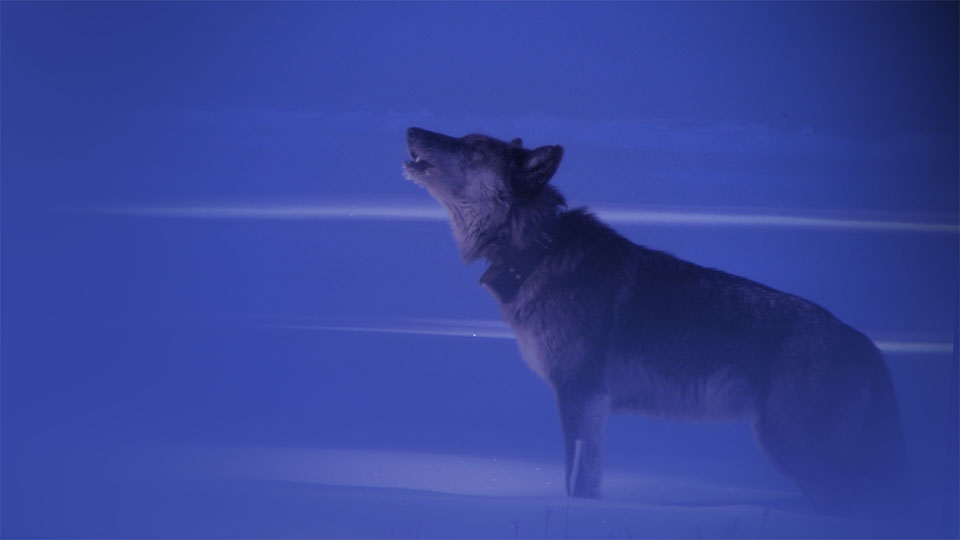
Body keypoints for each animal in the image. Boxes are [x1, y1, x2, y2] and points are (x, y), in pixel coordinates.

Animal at [402, 126, 912, 520]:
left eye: (473, 147)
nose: (411, 128)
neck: (536, 250)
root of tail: (865, 343)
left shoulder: (580, 394)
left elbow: (579, 484)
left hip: (793, 450)